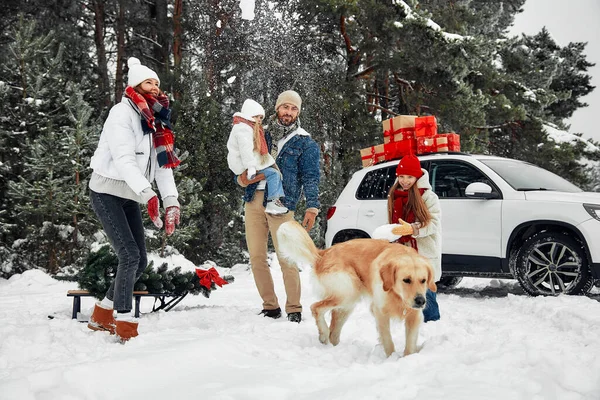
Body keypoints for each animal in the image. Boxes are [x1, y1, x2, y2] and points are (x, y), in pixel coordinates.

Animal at [276, 220, 436, 358]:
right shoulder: (380, 312)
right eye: (406, 280)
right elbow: (388, 341)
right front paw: (391, 358)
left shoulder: (414, 316)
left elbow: (410, 343)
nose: (420, 301)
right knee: (316, 308)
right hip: (348, 293)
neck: (397, 295)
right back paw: (323, 334)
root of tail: (323, 253)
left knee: (333, 332)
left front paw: (407, 358)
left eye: (423, 280)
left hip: (347, 304)